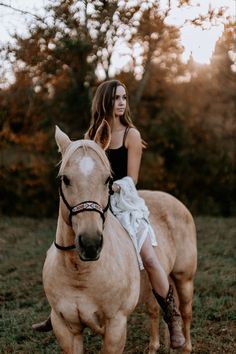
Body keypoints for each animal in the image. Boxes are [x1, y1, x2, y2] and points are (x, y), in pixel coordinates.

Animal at [42, 122, 197, 354]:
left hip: (183, 278)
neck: (79, 273)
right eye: (65, 179)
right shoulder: (66, 329)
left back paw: (183, 344)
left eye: (108, 179)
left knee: (185, 311)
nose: (90, 244)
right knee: (154, 310)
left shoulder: (116, 326)